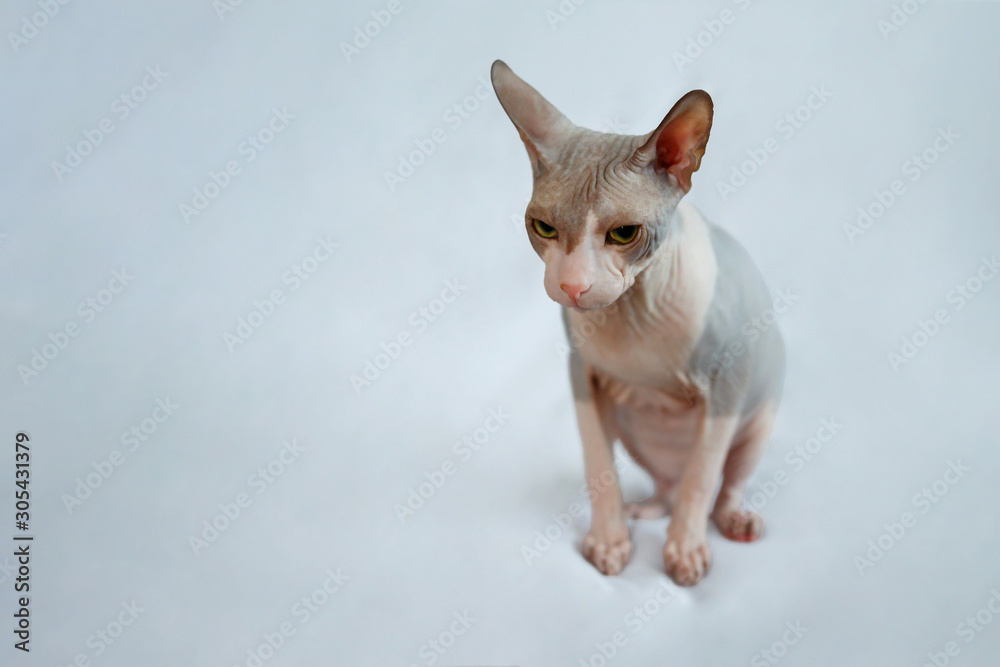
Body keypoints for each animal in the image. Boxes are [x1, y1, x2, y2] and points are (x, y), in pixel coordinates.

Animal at [496, 61, 784, 584]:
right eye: (543, 227)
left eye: (624, 233)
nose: (572, 287)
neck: (632, 311)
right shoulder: (582, 376)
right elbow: (597, 465)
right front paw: (610, 542)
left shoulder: (727, 383)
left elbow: (702, 479)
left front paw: (685, 552)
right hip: (635, 435)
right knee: (669, 486)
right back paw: (643, 509)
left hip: (758, 419)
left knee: (720, 483)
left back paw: (733, 520)